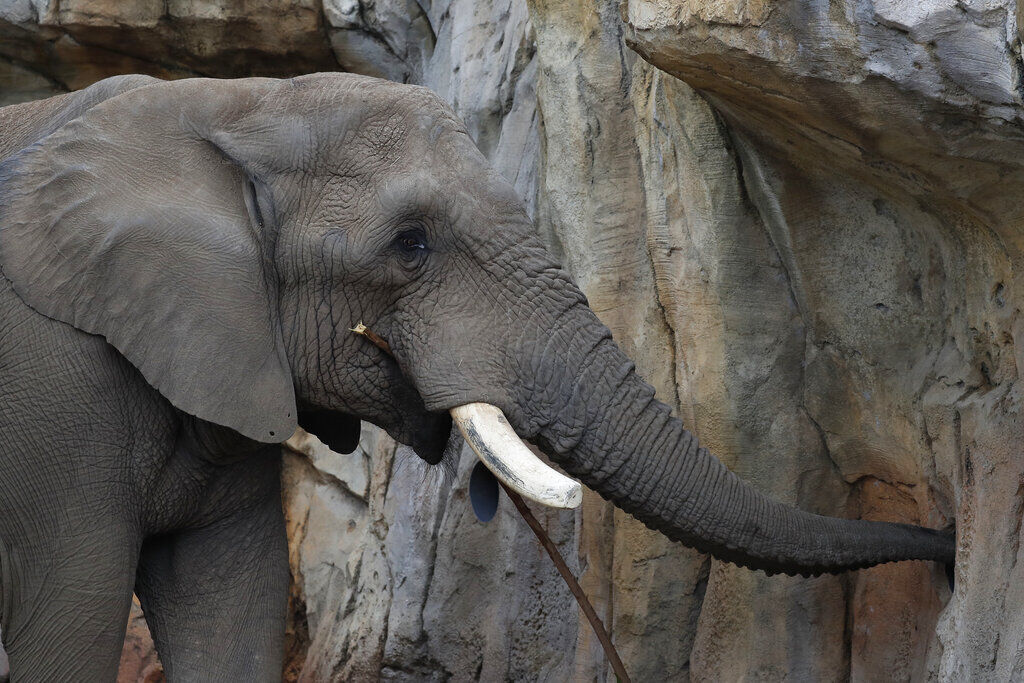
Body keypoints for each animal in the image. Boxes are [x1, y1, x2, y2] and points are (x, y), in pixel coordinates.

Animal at [0, 72, 950, 679]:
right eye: (411, 244)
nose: (946, 543)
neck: (220, 105)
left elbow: (229, 611)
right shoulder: (62, 393)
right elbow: (72, 622)